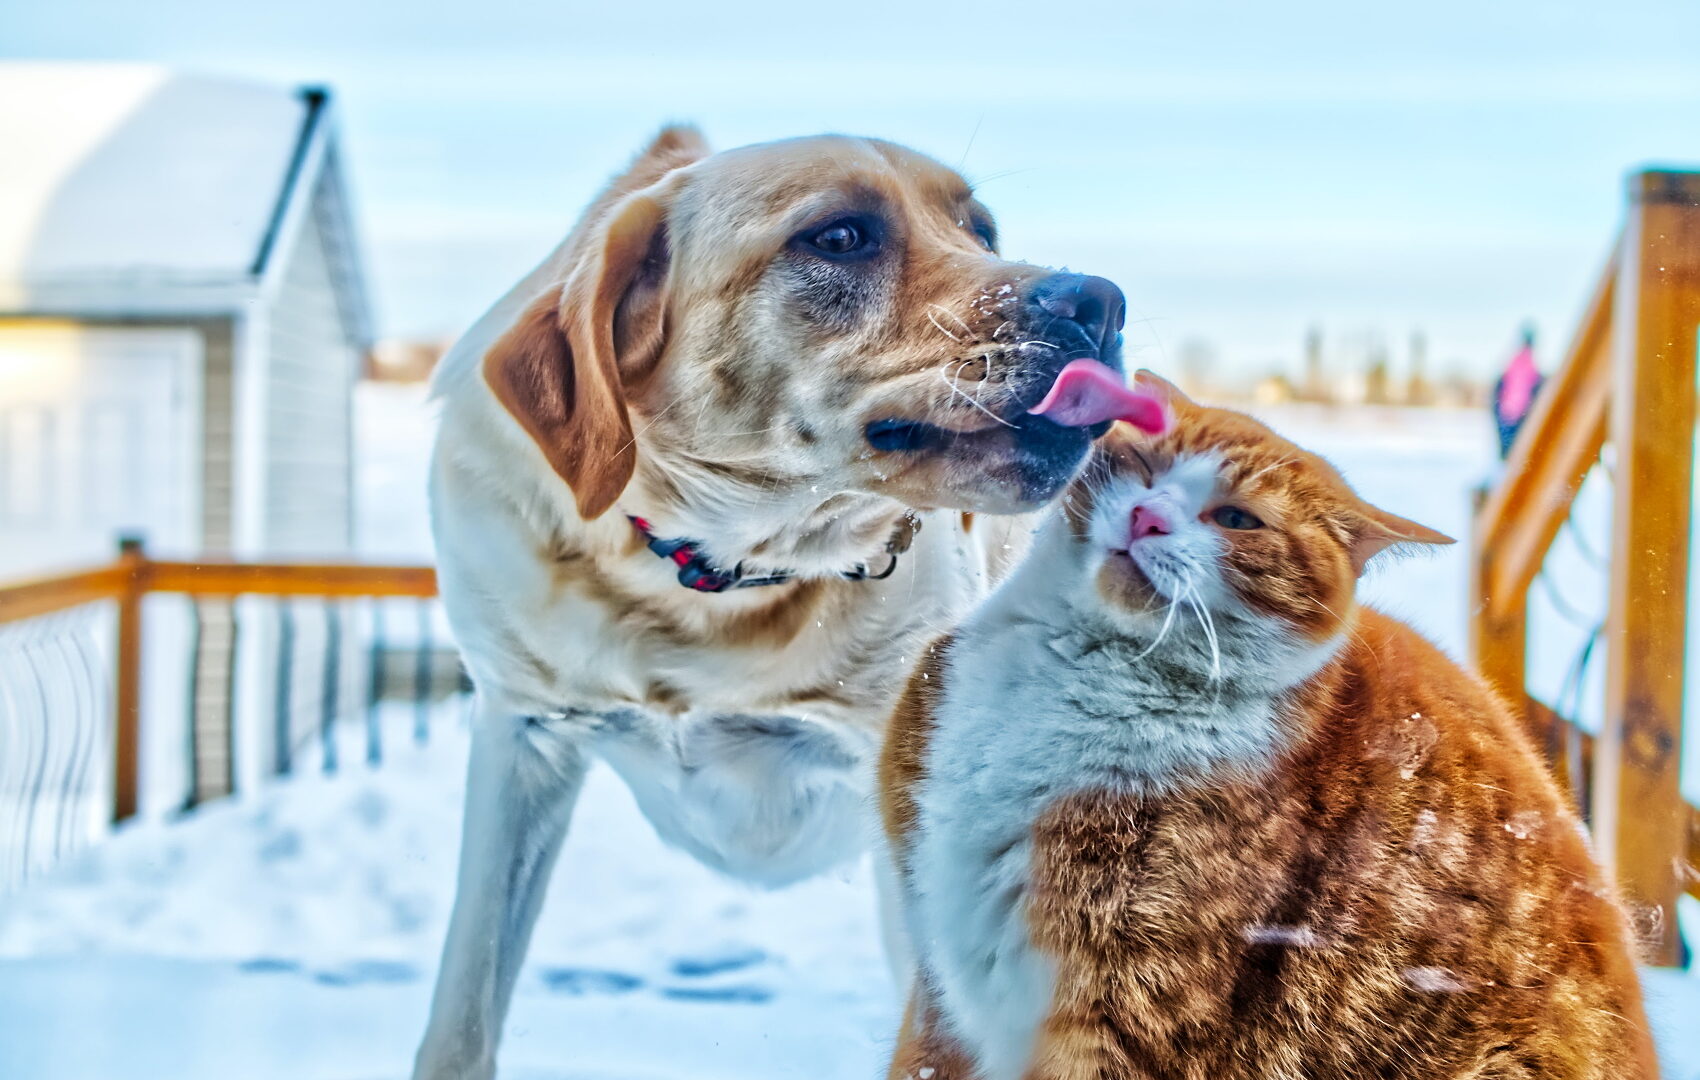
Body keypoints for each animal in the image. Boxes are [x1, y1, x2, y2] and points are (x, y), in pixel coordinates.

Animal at [411, 125, 1135, 1074]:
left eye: (980, 230)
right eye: (839, 237)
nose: (1103, 303)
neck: (721, 579)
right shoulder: (521, 737)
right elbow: (464, 1009)